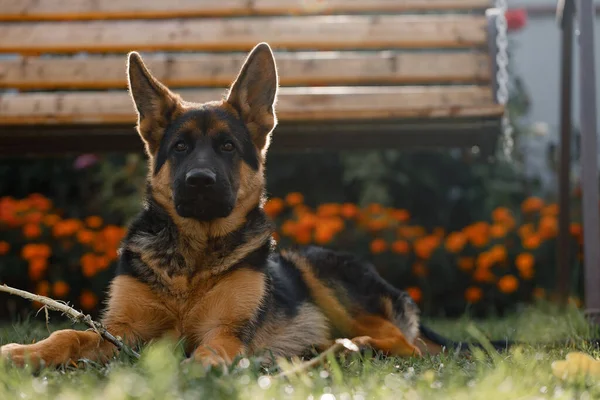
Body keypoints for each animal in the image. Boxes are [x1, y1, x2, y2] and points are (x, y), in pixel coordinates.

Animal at [0, 43, 464, 368]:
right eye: (181, 147)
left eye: (227, 147)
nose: (200, 181)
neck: (194, 258)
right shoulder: (121, 331)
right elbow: (68, 336)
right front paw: (25, 352)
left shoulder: (226, 329)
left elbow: (214, 348)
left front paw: (199, 368)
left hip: (320, 274)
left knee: (406, 344)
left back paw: (355, 346)